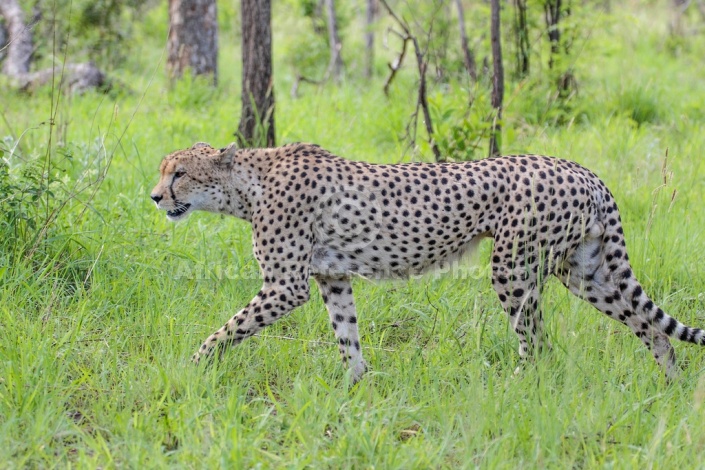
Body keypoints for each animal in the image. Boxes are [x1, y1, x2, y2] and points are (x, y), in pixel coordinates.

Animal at [151, 141, 700, 380]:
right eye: (164, 171)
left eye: (179, 173)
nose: (155, 197)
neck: (246, 185)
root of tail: (582, 169)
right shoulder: (333, 277)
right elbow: (347, 336)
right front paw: (356, 389)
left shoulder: (286, 286)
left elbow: (228, 329)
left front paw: (191, 368)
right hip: (585, 270)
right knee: (649, 327)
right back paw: (670, 385)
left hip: (513, 268)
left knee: (539, 343)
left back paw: (521, 386)